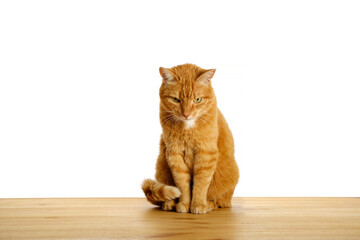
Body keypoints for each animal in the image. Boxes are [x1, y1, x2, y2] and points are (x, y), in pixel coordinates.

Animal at [141, 63, 239, 214]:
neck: (187, 128)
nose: (186, 114)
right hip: (161, 165)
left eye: (197, 100)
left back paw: (209, 204)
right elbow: (182, 184)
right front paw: (184, 204)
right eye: (176, 100)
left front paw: (198, 204)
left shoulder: (206, 154)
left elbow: (201, 183)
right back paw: (170, 203)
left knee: (220, 201)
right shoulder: (174, 155)